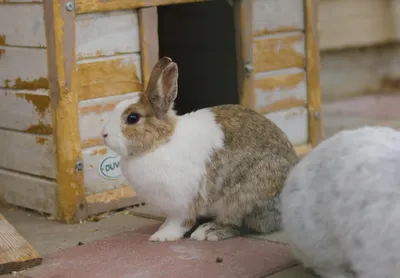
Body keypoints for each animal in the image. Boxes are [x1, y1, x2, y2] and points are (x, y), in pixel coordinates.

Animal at [101, 56, 298, 241]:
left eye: (133, 118)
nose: (104, 134)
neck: (161, 142)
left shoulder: (183, 204)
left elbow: (180, 222)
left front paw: (162, 236)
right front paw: (161, 229)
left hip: (246, 195)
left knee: (241, 224)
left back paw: (208, 232)